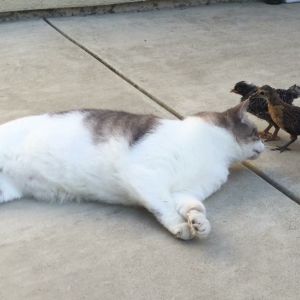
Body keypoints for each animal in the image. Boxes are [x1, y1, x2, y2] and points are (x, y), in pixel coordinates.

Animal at [0, 102, 262, 240]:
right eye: (255, 132)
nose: (263, 145)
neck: (216, 153)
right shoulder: (145, 174)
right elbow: (163, 207)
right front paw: (180, 226)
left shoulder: (185, 191)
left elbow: (194, 207)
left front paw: (200, 223)